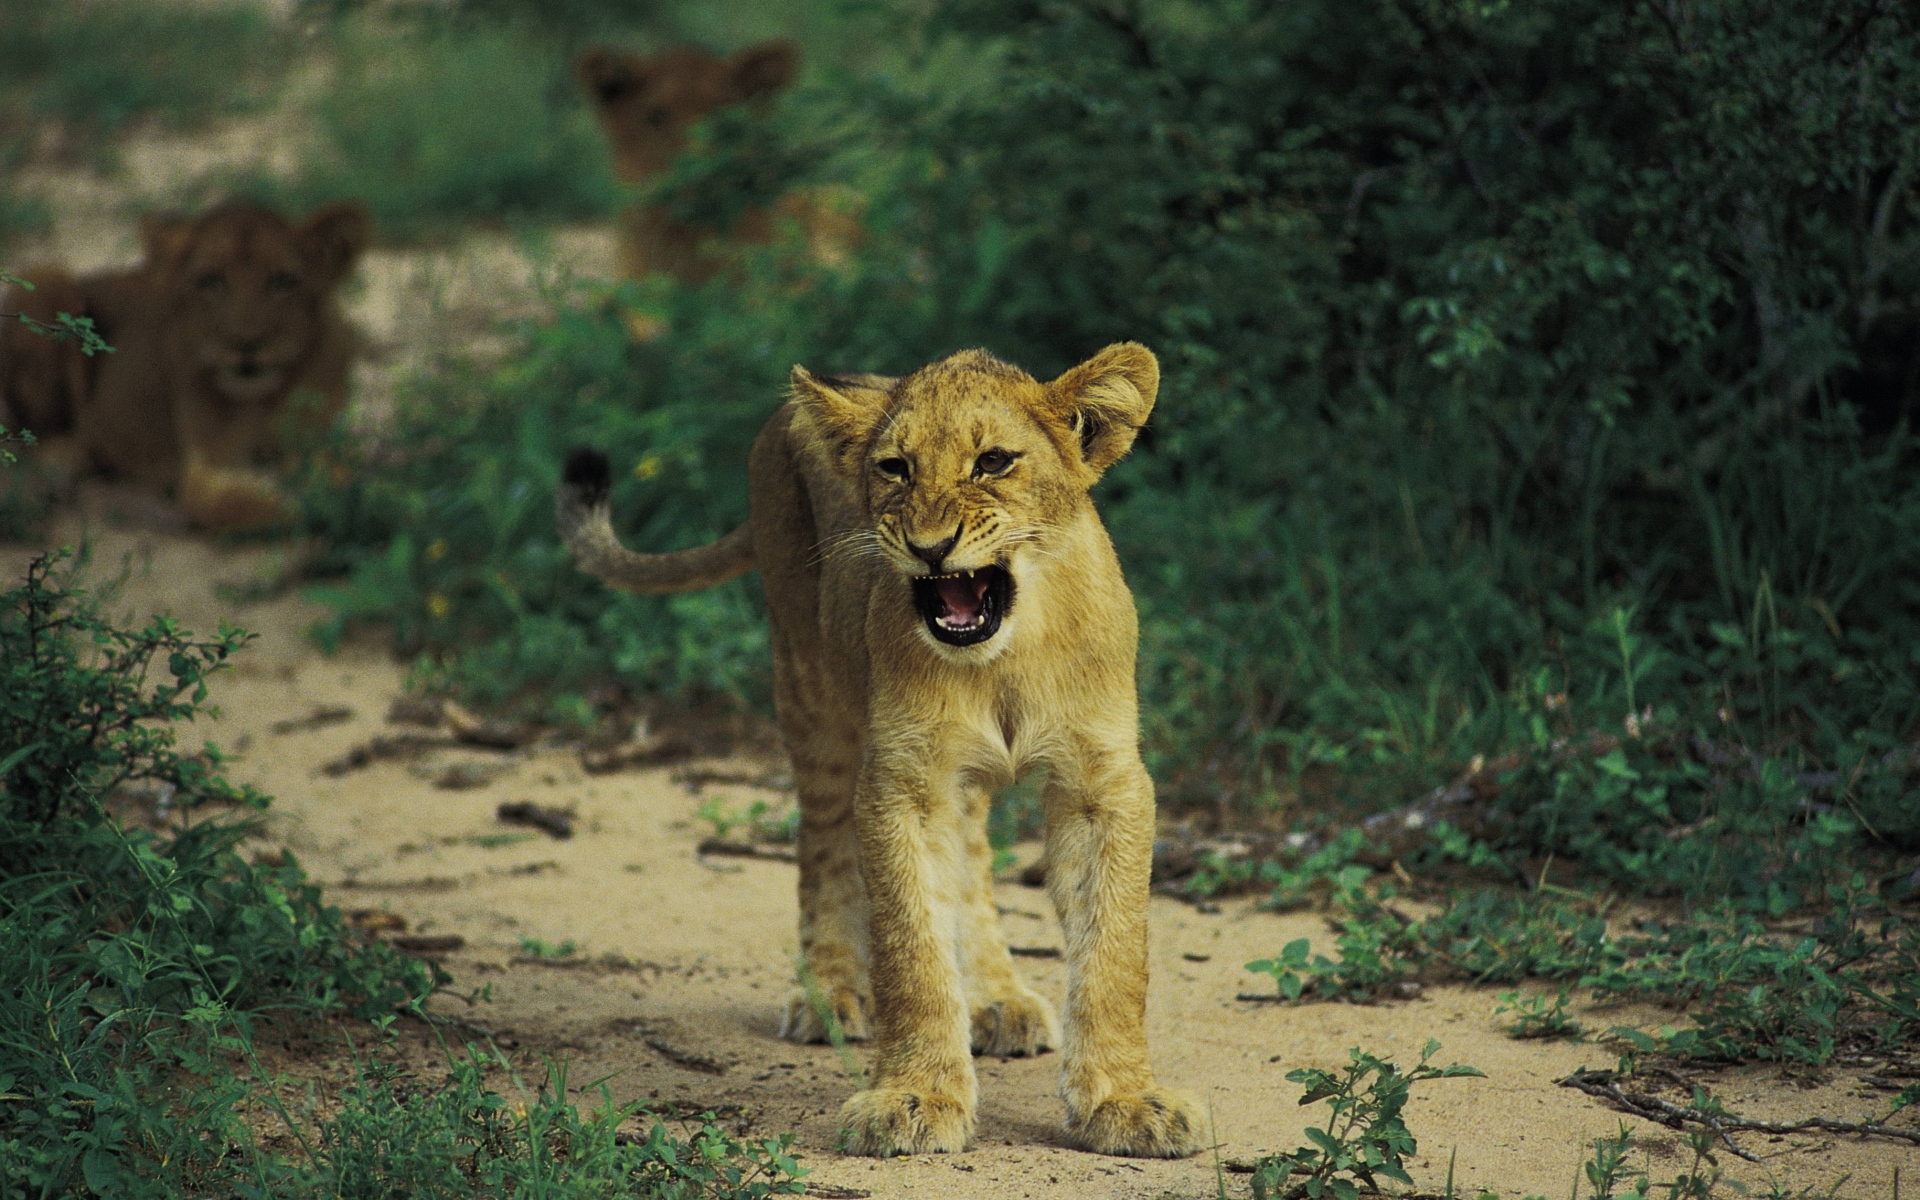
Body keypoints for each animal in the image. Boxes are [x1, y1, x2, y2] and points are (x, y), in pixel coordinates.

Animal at [0, 200, 370, 531]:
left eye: (281, 281)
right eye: (211, 281)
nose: (245, 343)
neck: (260, 398)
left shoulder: (320, 438)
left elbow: (337, 473)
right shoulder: (206, 465)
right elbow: (221, 504)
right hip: (44, 279)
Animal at [557, 344, 1204, 1158]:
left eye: (993, 462)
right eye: (895, 469)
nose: (929, 548)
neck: (1002, 660)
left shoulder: (1104, 782)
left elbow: (1116, 952)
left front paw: (1123, 1101)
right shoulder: (903, 780)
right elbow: (909, 946)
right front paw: (916, 1097)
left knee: (972, 858)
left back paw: (997, 1000)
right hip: (809, 684)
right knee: (822, 839)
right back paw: (829, 994)